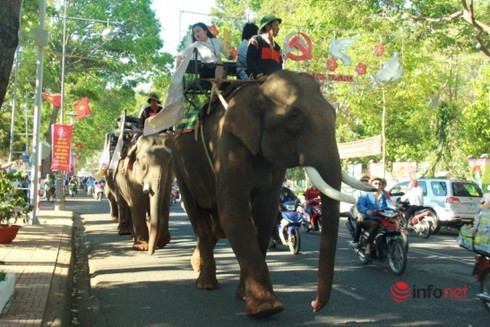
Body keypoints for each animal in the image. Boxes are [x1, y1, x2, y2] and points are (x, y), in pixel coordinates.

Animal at [170, 70, 374, 318]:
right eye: (294, 117)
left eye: (334, 114)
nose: (313, 305)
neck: (258, 87)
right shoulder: (229, 144)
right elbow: (235, 213)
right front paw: (267, 309)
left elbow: (264, 215)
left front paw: (244, 295)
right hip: (180, 166)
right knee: (199, 218)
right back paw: (206, 284)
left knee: (216, 226)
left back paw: (196, 264)